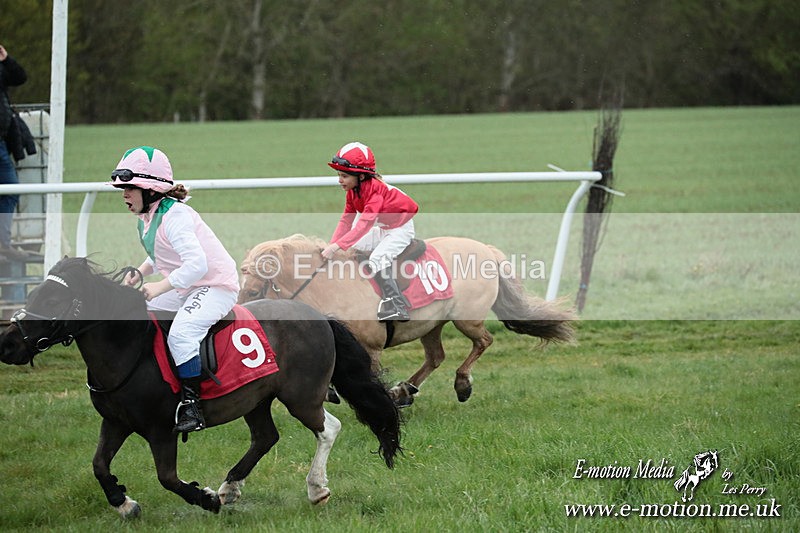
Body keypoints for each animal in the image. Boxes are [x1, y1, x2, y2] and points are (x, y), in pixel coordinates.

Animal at [0, 257, 401, 518]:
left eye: (52, 301)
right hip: (256, 397)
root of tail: (319, 317)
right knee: (265, 437)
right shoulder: (115, 422)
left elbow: (167, 477)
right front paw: (124, 503)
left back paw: (315, 488)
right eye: (33, 295)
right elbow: (98, 465)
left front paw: (205, 499)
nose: (7, 344)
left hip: (301, 397)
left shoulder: (161, 430)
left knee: (328, 428)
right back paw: (231, 487)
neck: (129, 349)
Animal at [239, 234, 575, 406]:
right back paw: (406, 389)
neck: (332, 285)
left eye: (254, 290)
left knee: (483, 341)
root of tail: (487, 250)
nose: (242, 321)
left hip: (466, 320)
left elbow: (371, 377)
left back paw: (461, 384)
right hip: (432, 324)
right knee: (436, 356)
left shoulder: (371, 347)